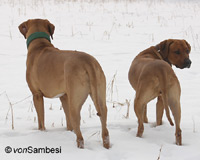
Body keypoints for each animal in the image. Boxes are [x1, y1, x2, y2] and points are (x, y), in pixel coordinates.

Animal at [18, 19, 110, 149]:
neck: (40, 44)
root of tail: (87, 62)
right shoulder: (64, 96)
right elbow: (68, 122)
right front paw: (68, 131)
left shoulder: (37, 95)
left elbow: (41, 120)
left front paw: (41, 132)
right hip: (100, 96)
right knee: (104, 128)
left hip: (75, 103)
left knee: (80, 135)